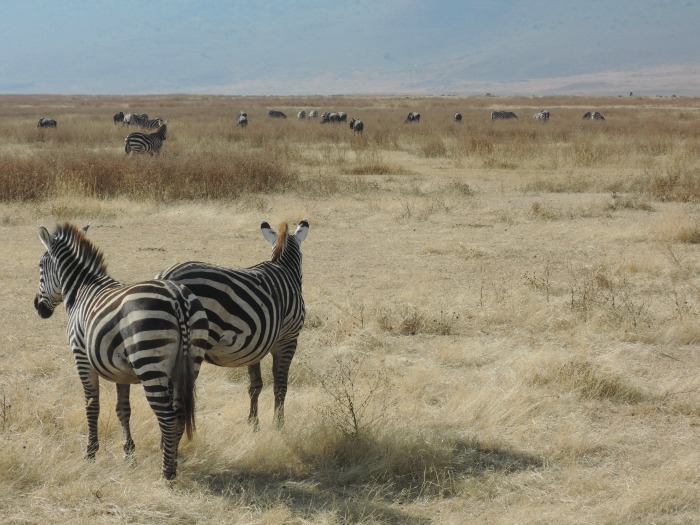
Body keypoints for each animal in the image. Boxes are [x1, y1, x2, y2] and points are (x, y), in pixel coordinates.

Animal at [33, 221, 208, 478]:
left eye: (40, 267)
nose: (38, 308)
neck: (82, 289)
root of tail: (178, 298)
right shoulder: (120, 370)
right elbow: (123, 409)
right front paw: (129, 453)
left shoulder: (81, 357)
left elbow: (92, 405)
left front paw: (90, 453)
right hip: (190, 363)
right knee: (179, 415)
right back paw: (173, 462)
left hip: (149, 362)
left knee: (168, 418)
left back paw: (167, 474)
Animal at [159, 219, 312, 428]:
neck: (285, 268)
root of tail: (167, 277)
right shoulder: (288, 339)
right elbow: (281, 385)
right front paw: (279, 425)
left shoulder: (256, 343)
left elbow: (255, 385)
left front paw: (253, 423)